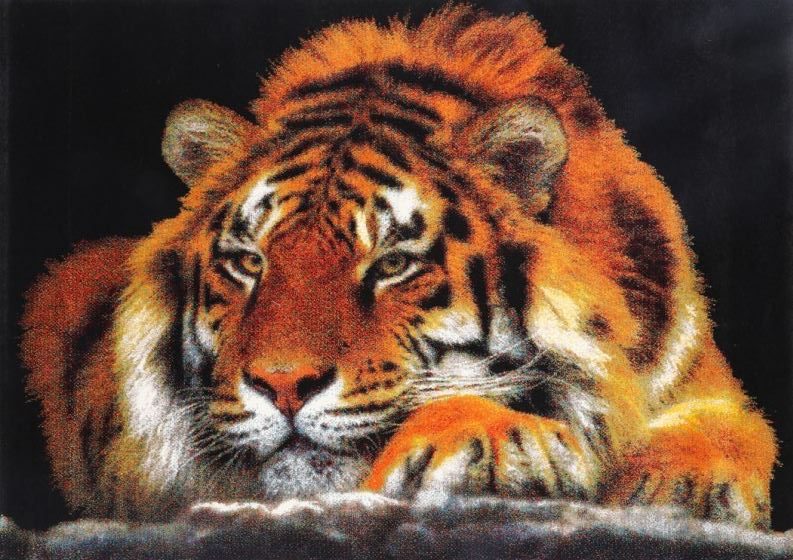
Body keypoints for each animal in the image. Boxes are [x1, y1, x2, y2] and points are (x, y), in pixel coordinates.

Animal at [21, 5, 776, 527]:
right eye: (247, 262)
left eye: (391, 264)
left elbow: (732, 424)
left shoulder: (695, 373)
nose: (282, 385)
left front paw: (680, 481)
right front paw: (498, 438)